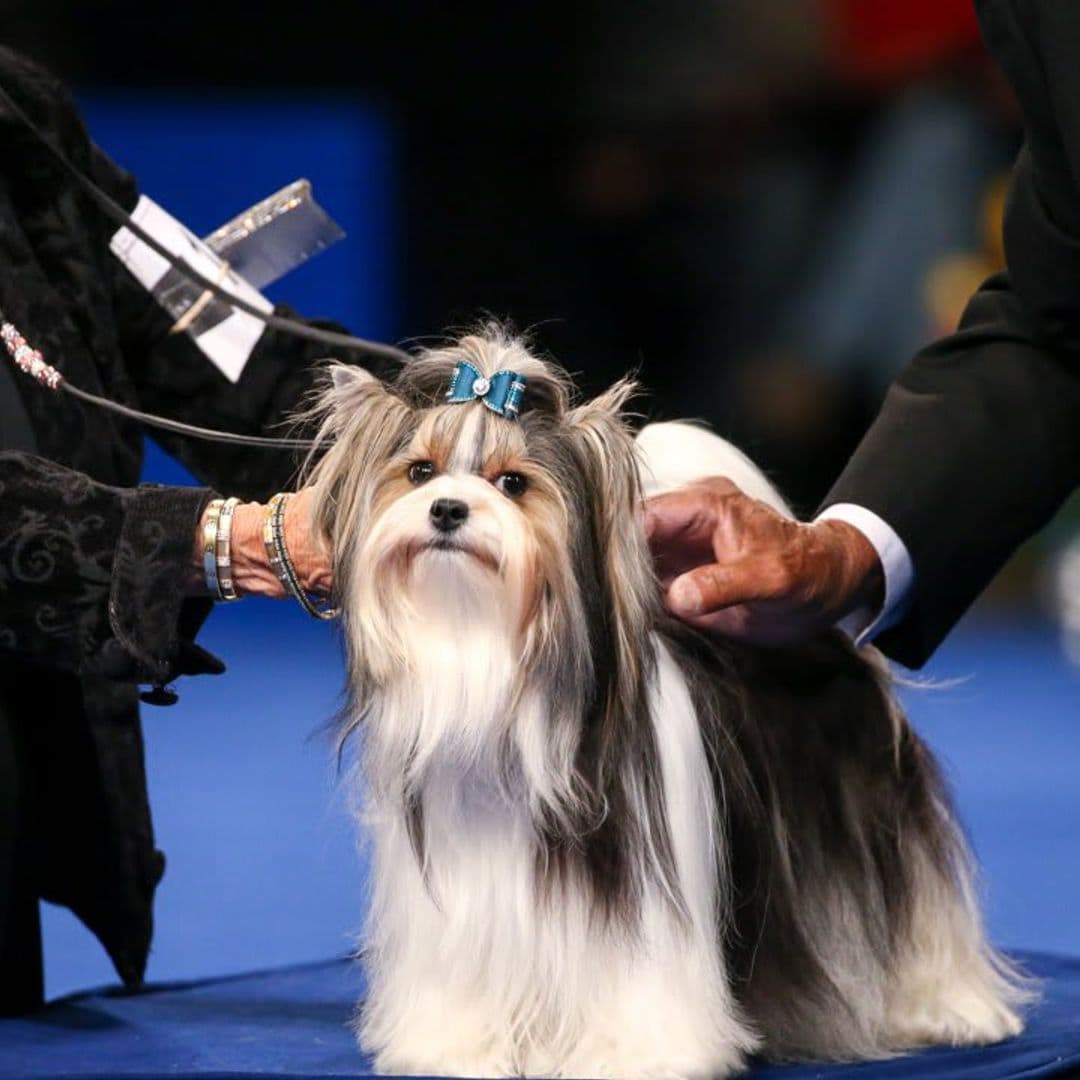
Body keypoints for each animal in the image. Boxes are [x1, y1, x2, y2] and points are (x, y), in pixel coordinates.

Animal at [304, 330, 1028, 1080]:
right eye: (420, 472)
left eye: (513, 483)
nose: (447, 508)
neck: (490, 656)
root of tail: (826, 637)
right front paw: (459, 1049)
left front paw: (634, 1055)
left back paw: (951, 1009)